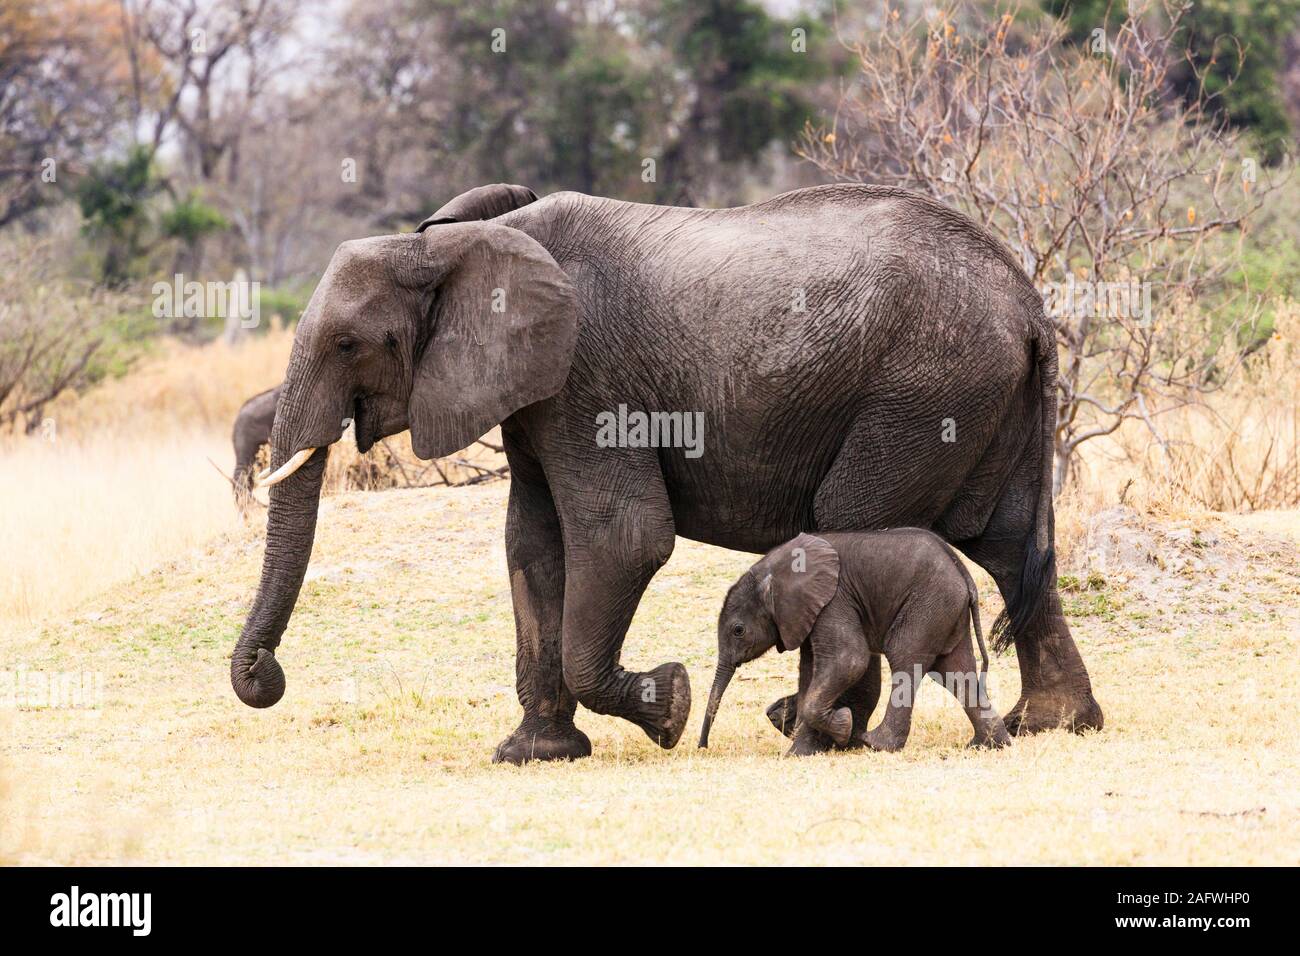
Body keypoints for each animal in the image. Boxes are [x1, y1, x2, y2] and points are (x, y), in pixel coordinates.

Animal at [696, 530, 1008, 754]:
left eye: (738, 630)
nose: (703, 747)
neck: (772, 568)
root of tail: (964, 574)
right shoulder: (806, 614)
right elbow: (810, 674)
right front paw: (799, 753)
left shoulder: (833, 601)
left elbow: (849, 660)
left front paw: (843, 726)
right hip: (946, 609)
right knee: (955, 672)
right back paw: (987, 745)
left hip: (927, 605)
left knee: (905, 659)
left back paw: (878, 744)